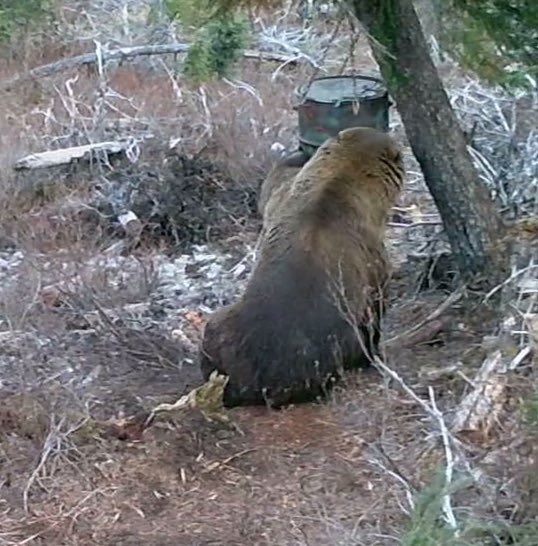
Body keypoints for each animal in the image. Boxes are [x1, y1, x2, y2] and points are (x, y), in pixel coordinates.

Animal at [199, 125, 404, 406]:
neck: (339, 182)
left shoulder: (283, 196)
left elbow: (270, 187)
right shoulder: (373, 254)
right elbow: (377, 304)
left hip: (223, 331)